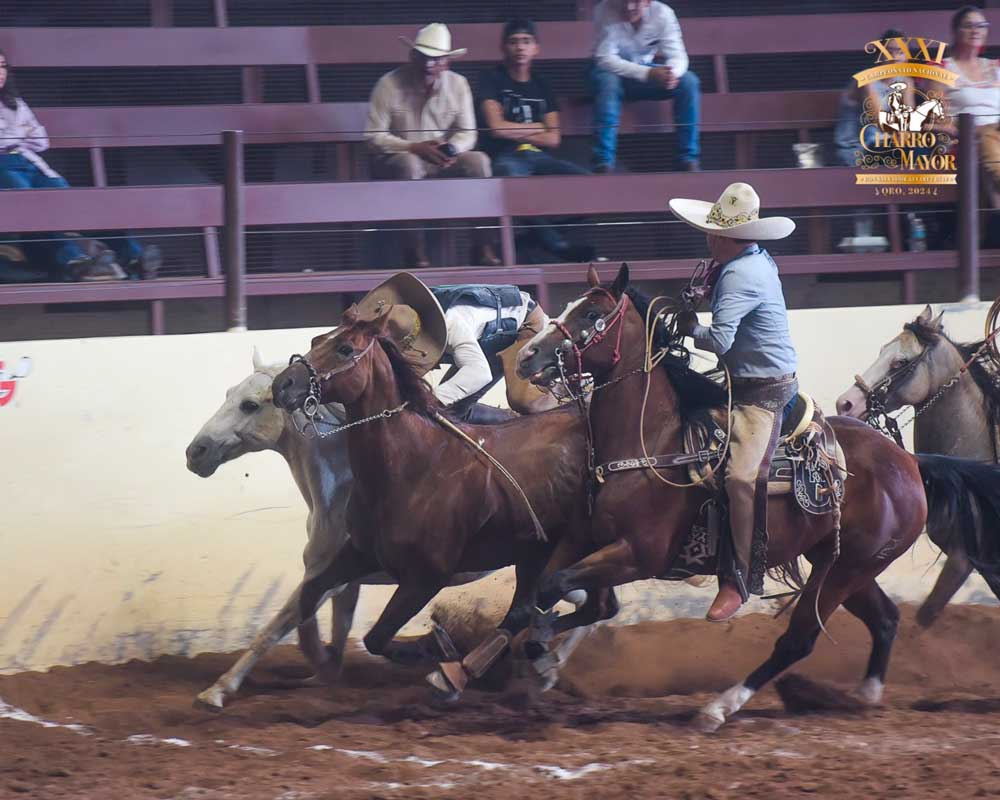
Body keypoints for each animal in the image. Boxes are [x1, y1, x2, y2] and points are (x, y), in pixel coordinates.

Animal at [266, 306, 608, 680]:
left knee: (555, 607)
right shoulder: (360, 552)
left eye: (345, 348)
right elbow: (310, 594)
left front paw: (436, 647)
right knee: (593, 607)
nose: (282, 384)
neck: (412, 467)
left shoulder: (426, 578)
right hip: (540, 553)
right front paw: (322, 658)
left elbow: (377, 636)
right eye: (316, 340)